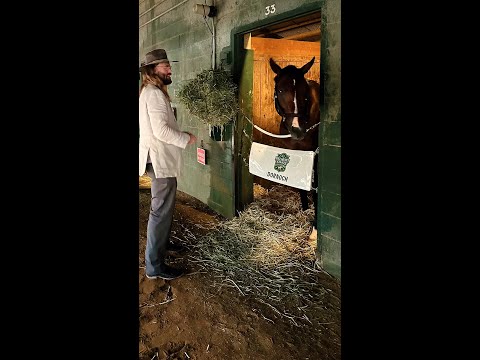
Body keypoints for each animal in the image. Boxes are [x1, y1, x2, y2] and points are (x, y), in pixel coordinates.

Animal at [268, 57, 320, 242]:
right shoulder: (296, 154)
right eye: (280, 89)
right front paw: (304, 209)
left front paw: (315, 230)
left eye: (305, 92)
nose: (298, 130)